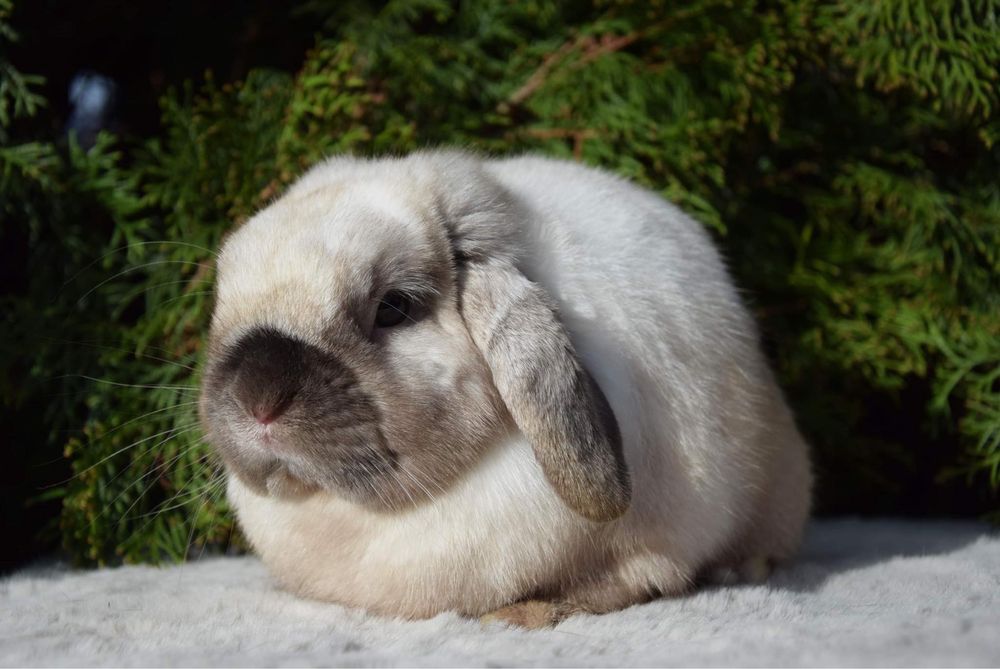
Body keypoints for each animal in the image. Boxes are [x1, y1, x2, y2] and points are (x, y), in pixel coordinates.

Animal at [197, 149, 812, 628]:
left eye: (394, 307)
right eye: (223, 304)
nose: (258, 398)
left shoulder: (650, 548)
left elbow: (632, 580)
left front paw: (529, 614)